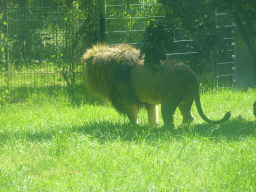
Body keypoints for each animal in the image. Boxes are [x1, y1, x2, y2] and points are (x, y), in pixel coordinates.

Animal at [83, 43, 231, 127]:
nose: (87, 82)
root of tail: (191, 73)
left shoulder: (126, 99)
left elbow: (133, 115)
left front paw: (135, 127)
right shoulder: (148, 100)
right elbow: (152, 113)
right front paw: (153, 126)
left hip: (169, 100)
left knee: (170, 120)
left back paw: (166, 131)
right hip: (185, 101)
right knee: (189, 117)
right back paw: (181, 128)